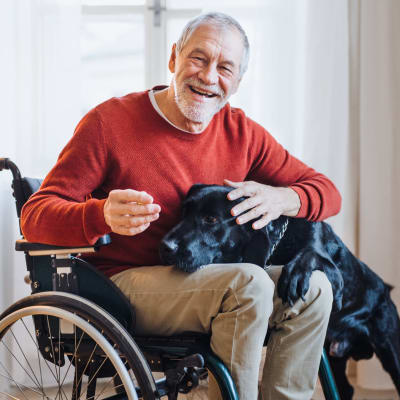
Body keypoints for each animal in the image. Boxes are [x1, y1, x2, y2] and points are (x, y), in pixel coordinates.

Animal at [159, 184, 400, 400]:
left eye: (211, 220)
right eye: (183, 213)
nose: (166, 246)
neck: (281, 242)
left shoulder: (334, 274)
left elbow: (309, 254)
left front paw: (294, 276)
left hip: (390, 350)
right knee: (346, 389)